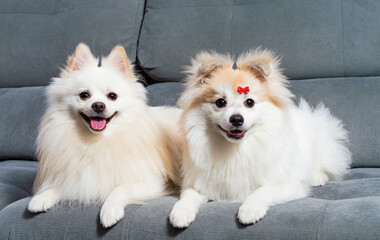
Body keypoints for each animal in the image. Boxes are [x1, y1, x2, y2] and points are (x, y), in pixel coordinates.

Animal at [26, 43, 183, 229]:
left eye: (112, 96)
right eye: (84, 95)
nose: (98, 105)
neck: (97, 141)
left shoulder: (152, 181)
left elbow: (120, 189)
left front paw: (110, 210)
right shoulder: (75, 176)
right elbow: (61, 185)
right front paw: (42, 197)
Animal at [169, 49, 350, 227]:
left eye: (249, 102)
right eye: (220, 102)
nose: (236, 119)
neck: (237, 149)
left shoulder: (290, 185)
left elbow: (265, 189)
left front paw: (250, 209)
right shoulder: (200, 183)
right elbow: (188, 195)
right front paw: (181, 212)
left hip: (322, 148)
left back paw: (316, 177)